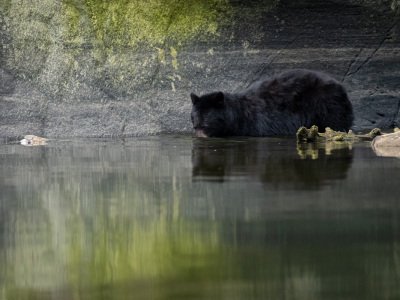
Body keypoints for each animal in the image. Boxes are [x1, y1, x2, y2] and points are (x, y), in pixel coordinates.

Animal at [190, 69, 354, 137]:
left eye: (206, 123)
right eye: (194, 122)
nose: (199, 137)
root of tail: (341, 87)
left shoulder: (256, 123)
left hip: (327, 105)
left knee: (335, 123)